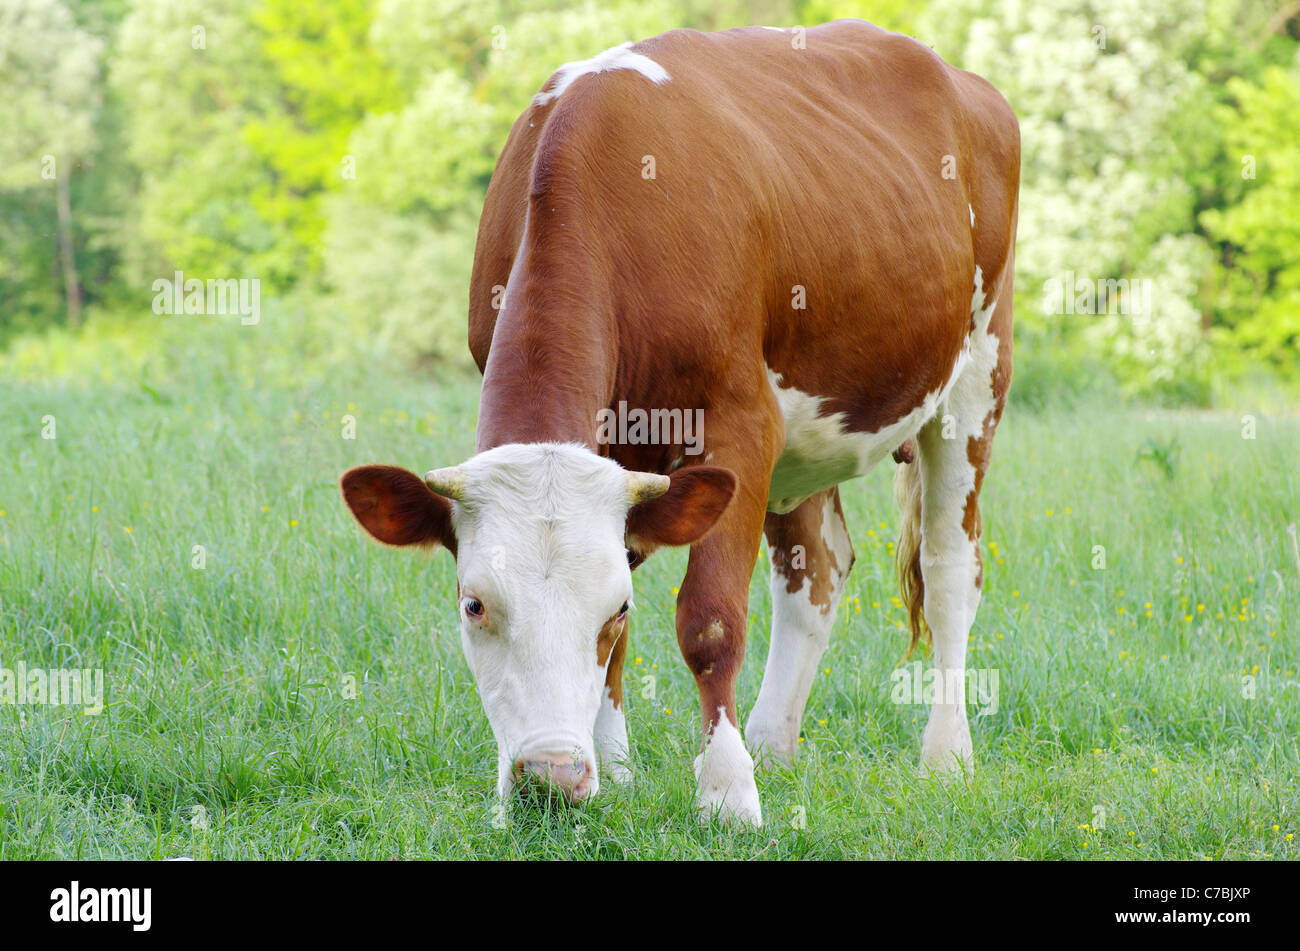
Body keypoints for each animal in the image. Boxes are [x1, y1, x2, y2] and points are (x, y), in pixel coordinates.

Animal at [340, 19, 1019, 826]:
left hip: (978, 371)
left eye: (612, 604)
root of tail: (959, 78)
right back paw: (773, 743)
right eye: (473, 604)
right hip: (806, 438)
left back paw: (945, 756)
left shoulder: (742, 423)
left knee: (949, 569)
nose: (551, 778)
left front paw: (727, 791)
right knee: (816, 571)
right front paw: (620, 771)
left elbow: (710, 620)